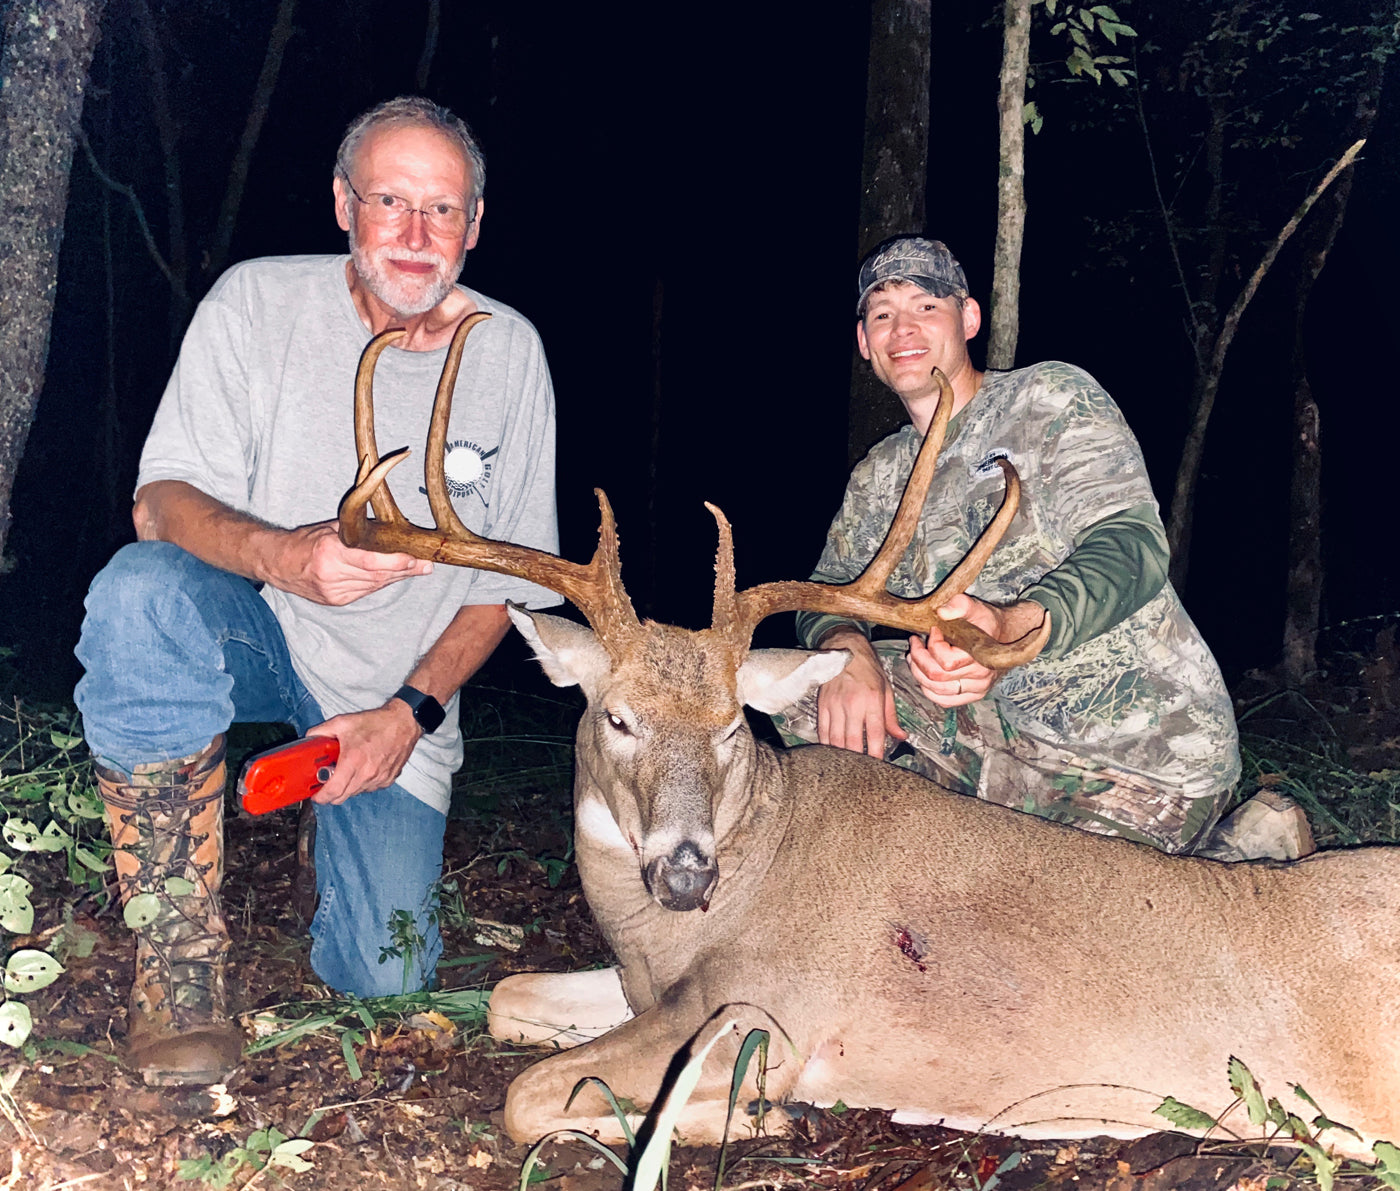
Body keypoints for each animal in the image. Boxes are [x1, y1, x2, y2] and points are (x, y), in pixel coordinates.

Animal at [338, 321, 1400, 1158]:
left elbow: (529, 1096)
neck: (680, 930)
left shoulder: (761, 1008)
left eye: (732, 725)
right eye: (616, 715)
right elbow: (510, 994)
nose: (685, 872)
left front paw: (757, 1116)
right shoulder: (653, 990)